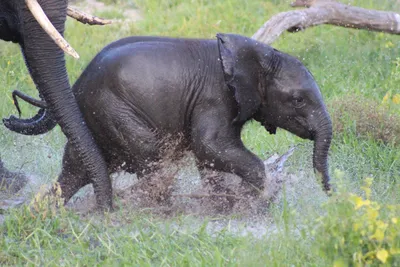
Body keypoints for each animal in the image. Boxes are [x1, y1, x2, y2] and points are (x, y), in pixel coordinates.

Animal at [16, 33, 334, 207]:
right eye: (298, 100)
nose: (331, 196)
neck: (258, 53)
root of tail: (77, 85)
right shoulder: (215, 97)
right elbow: (209, 146)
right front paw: (255, 198)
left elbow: (210, 156)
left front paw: (227, 203)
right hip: (113, 110)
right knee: (150, 155)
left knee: (75, 171)